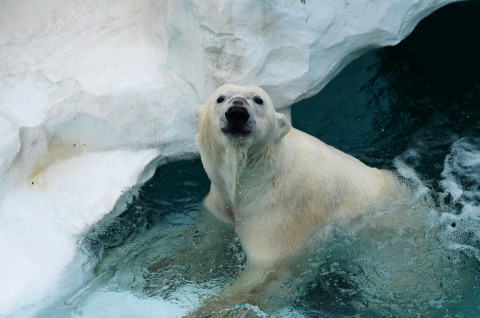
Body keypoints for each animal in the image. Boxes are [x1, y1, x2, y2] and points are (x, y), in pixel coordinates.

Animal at [191, 83, 402, 316]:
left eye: (258, 100)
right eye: (220, 98)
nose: (237, 113)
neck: (253, 178)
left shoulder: (278, 216)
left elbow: (262, 275)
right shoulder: (220, 203)